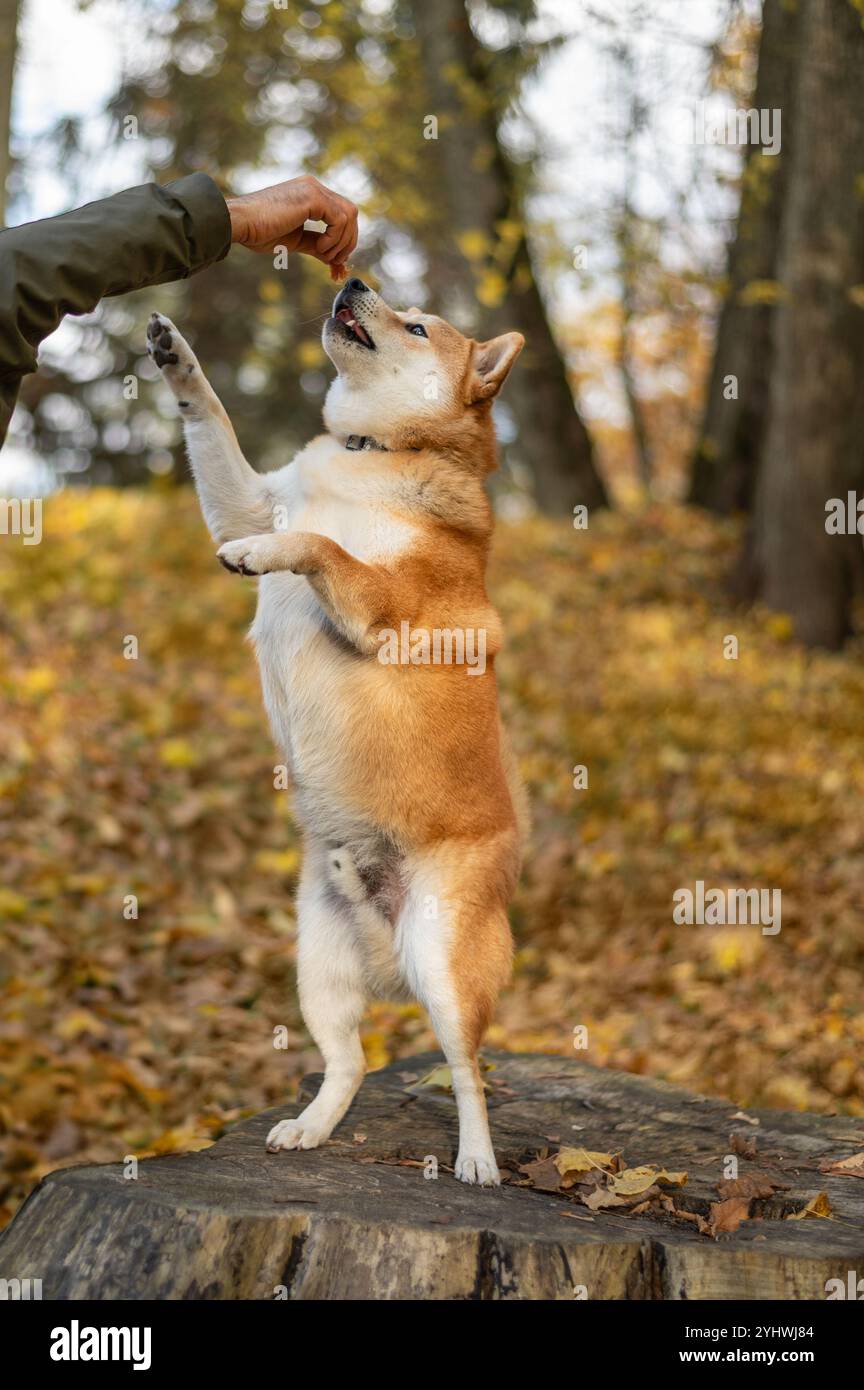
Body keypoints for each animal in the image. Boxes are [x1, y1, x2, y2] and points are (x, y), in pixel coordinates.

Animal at [148, 279, 527, 1184]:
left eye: (417, 325)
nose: (352, 282)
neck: (369, 452)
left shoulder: (382, 603)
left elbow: (316, 541)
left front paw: (263, 556)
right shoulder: (249, 499)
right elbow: (214, 427)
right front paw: (176, 355)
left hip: (444, 963)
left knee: (467, 1070)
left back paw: (476, 1160)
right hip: (315, 961)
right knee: (347, 1062)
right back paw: (311, 1128)